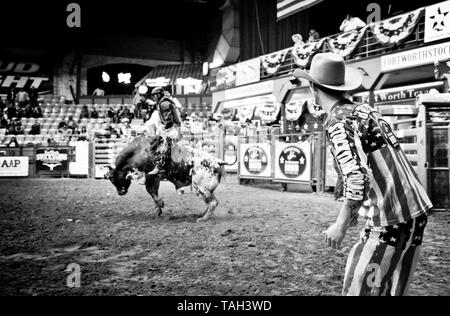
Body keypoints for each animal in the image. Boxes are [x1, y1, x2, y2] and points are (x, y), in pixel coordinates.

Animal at [102, 136, 236, 222]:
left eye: (113, 178)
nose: (120, 192)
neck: (138, 152)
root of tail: (217, 161)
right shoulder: (154, 177)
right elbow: (152, 192)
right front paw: (158, 210)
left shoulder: (151, 176)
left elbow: (150, 190)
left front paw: (159, 205)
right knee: (210, 203)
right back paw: (202, 215)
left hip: (201, 187)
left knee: (213, 202)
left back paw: (203, 218)